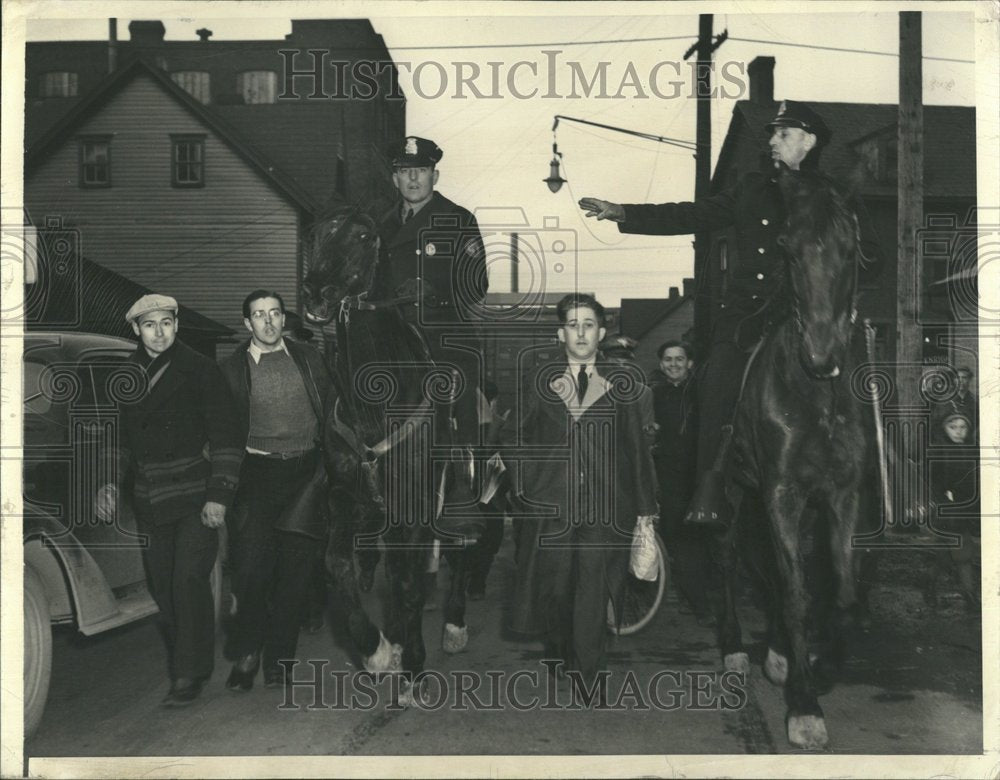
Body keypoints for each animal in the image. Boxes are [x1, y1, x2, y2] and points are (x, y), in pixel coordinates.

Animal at [716, 165, 880, 748]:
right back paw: (734, 646)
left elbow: (843, 590)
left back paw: (780, 653)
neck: (818, 396)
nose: (822, 356)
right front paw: (805, 707)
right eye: (787, 249)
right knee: (727, 553)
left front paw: (821, 667)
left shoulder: (841, 493)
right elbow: (795, 592)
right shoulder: (781, 493)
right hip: (730, 493)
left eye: (851, 248)